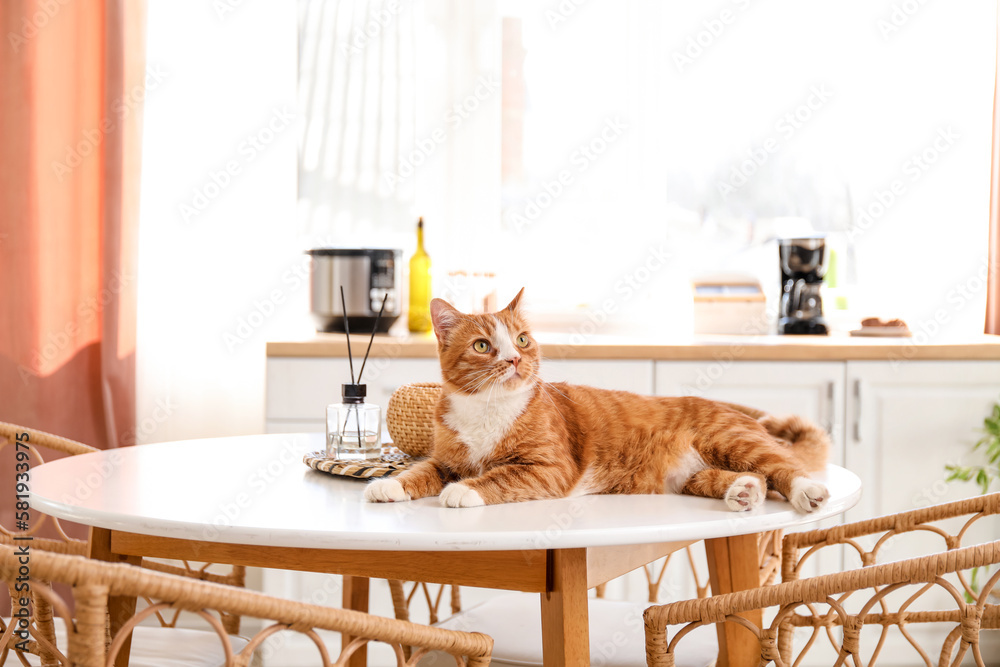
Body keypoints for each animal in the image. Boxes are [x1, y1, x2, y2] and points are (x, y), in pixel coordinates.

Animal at [366, 290, 828, 516]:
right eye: (482, 345)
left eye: (521, 339)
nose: (514, 359)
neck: (488, 409)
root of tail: (737, 411)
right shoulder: (445, 459)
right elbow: (421, 469)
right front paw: (390, 484)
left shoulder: (549, 468)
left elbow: (498, 477)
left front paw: (463, 491)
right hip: (687, 477)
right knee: (750, 478)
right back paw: (743, 491)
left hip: (731, 439)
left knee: (784, 468)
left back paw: (807, 492)